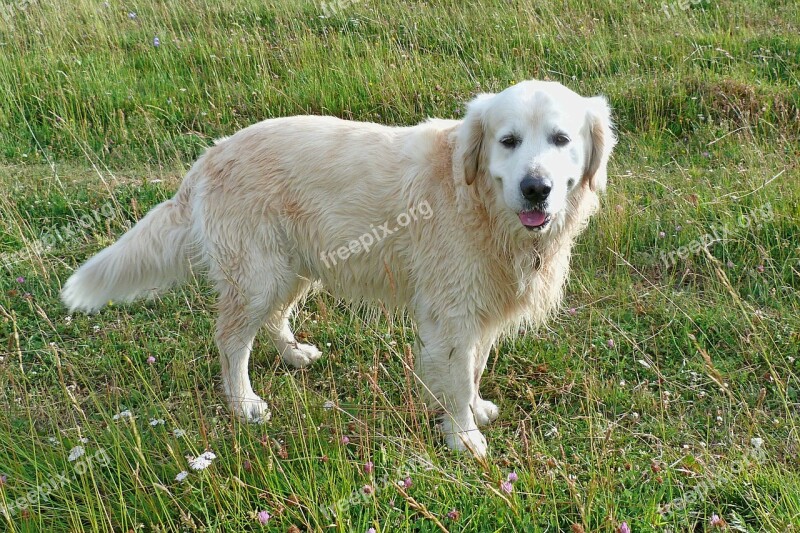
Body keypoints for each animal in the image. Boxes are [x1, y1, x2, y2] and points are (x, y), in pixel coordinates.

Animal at [62, 81, 616, 456]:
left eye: (560, 139)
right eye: (508, 141)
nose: (536, 188)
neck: (482, 203)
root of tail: (211, 154)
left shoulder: (481, 312)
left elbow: (474, 370)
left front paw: (476, 411)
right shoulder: (453, 314)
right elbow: (458, 379)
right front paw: (464, 436)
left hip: (294, 269)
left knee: (274, 319)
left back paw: (294, 355)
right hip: (258, 276)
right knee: (231, 343)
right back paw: (244, 403)